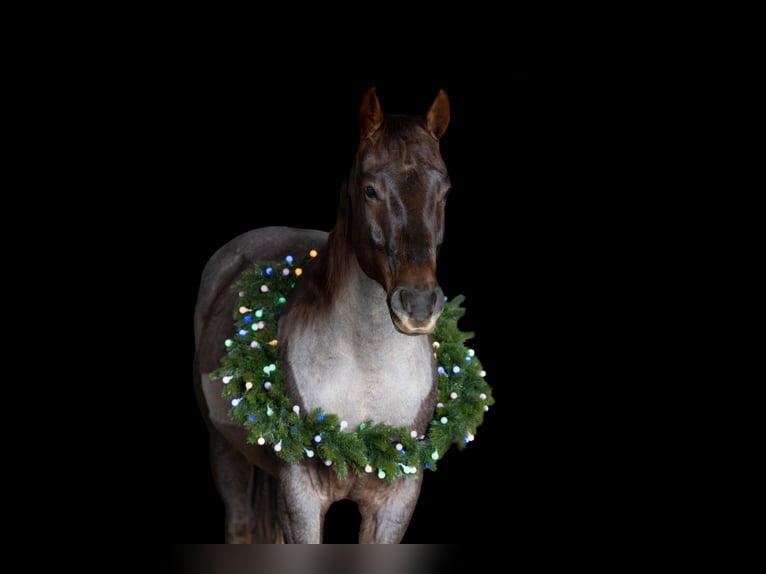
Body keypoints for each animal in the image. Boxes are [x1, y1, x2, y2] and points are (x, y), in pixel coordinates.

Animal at [193, 86, 484, 543]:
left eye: (446, 191)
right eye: (370, 190)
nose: (418, 305)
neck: (367, 366)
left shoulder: (396, 499)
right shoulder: (300, 495)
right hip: (226, 452)